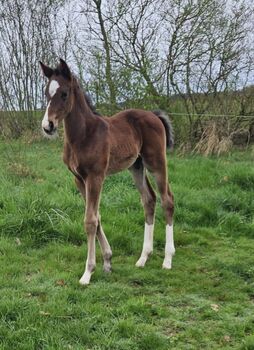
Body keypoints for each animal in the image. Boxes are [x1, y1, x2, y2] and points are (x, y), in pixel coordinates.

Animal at [39, 59, 176, 284]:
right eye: (46, 93)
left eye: (64, 94)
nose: (48, 126)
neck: (83, 135)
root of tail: (154, 115)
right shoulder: (79, 179)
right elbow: (97, 216)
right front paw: (108, 261)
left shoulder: (95, 176)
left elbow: (90, 221)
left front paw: (88, 272)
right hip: (136, 166)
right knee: (149, 199)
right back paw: (143, 257)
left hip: (156, 162)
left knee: (167, 200)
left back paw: (167, 259)